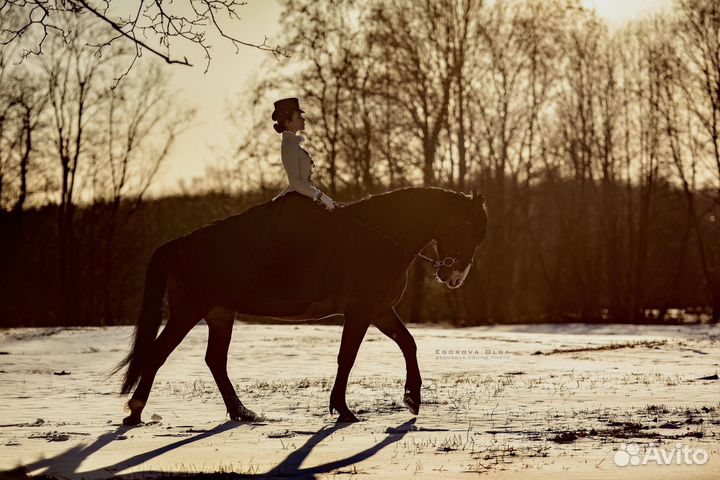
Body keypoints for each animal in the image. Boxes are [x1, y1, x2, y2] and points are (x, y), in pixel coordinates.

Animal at [112, 186, 488, 425]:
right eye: (468, 228)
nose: (455, 277)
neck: (380, 236)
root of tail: (178, 245)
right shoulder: (360, 312)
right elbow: (347, 357)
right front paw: (343, 409)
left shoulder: (379, 310)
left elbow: (408, 343)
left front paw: (412, 398)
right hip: (188, 312)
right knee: (158, 353)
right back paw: (135, 412)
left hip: (220, 314)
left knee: (215, 361)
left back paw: (242, 412)